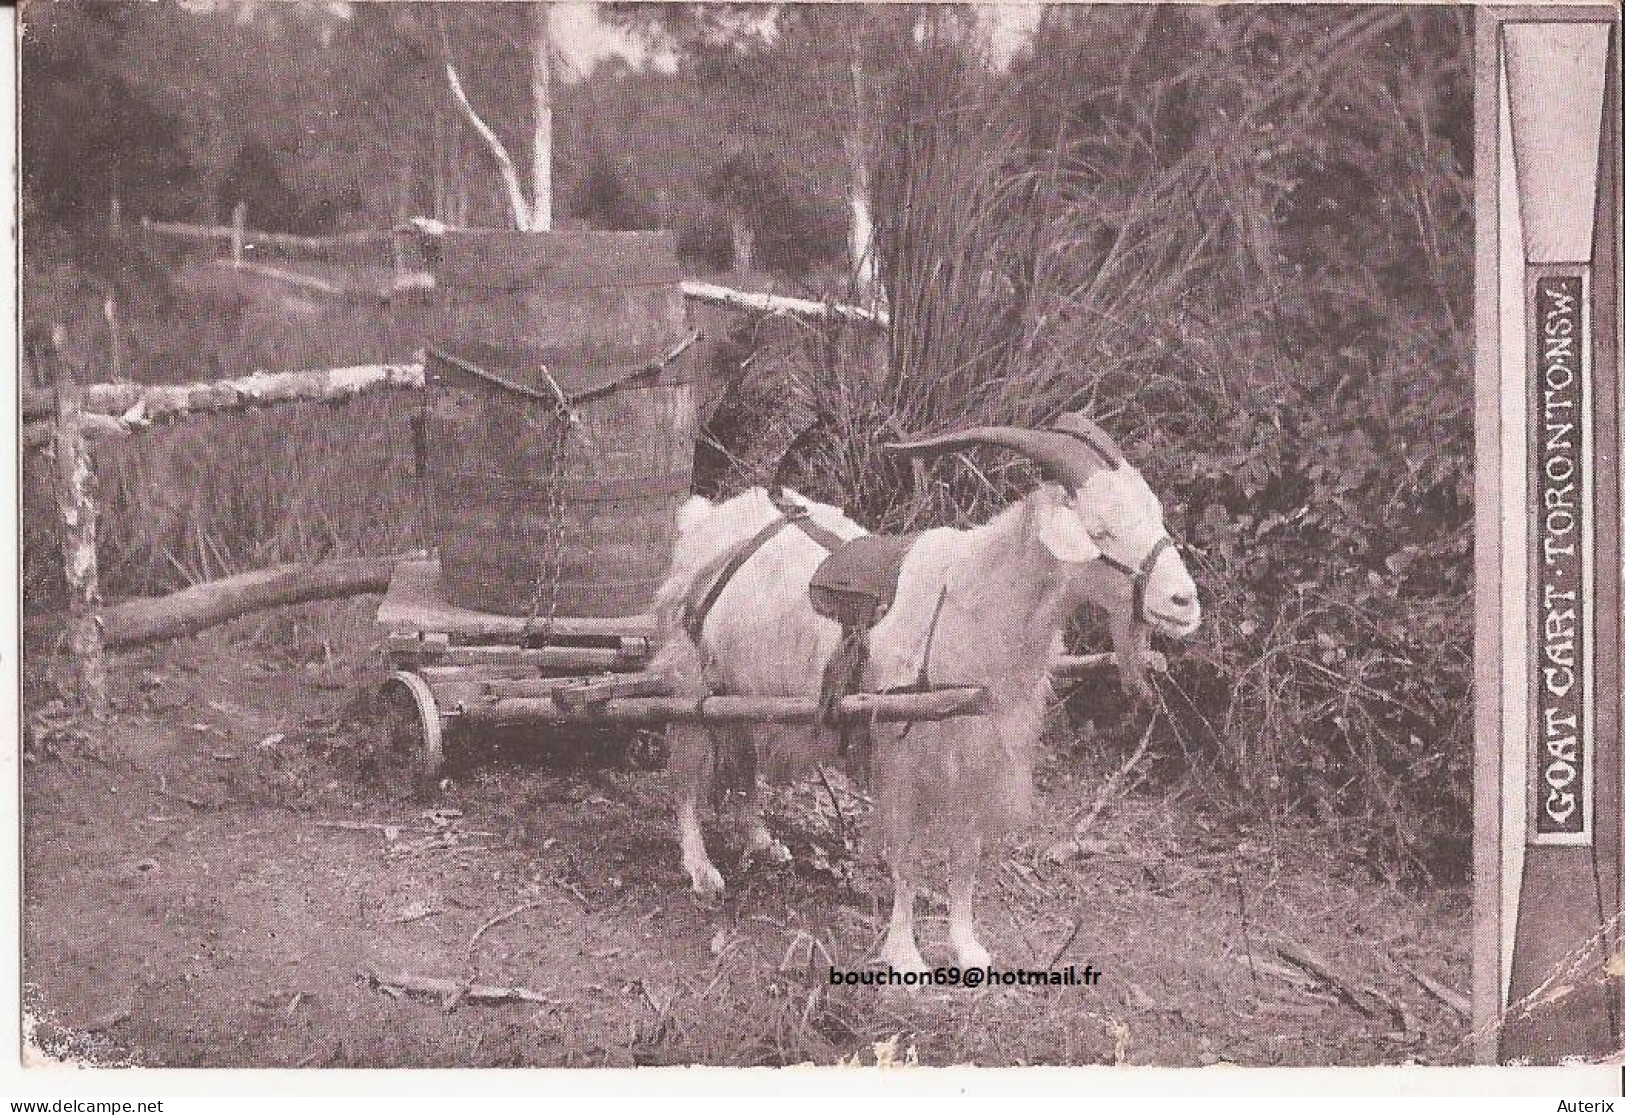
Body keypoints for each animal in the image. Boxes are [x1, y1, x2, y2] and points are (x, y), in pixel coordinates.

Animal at [653, 414, 1202, 975]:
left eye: (1155, 517)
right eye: (1100, 531)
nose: (1184, 602)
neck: (969, 604)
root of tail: (704, 518)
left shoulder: (980, 754)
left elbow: (965, 855)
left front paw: (967, 946)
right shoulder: (905, 752)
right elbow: (908, 855)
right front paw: (904, 955)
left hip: (750, 691)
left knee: (746, 759)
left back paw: (761, 840)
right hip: (690, 678)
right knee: (685, 774)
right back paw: (701, 869)